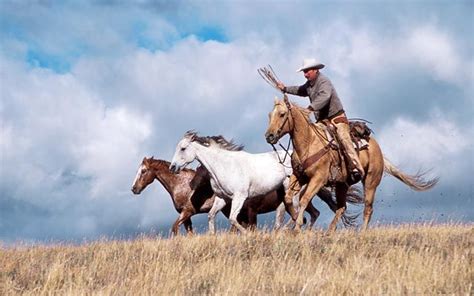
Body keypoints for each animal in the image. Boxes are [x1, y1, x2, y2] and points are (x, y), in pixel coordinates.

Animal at [131, 156, 352, 235]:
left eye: (143, 171)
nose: (134, 189)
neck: (182, 185)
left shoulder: (188, 212)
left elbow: (175, 227)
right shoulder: (189, 216)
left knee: (302, 217)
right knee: (312, 214)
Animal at [264, 98, 438, 232]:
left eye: (282, 114)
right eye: (270, 115)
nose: (269, 136)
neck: (309, 143)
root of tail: (377, 149)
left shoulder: (318, 179)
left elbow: (304, 199)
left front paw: (298, 226)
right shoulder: (299, 176)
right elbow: (288, 198)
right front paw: (296, 220)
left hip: (370, 182)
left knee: (368, 208)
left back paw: (362, 232)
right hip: (342, 184)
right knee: (341, 207)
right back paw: (330, 231)